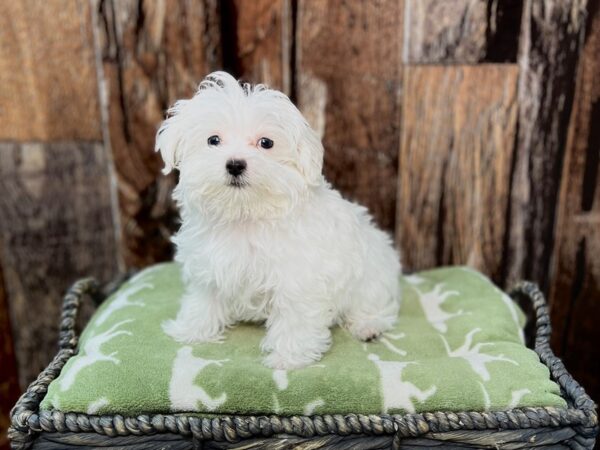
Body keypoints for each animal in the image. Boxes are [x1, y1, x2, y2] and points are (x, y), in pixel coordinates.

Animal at [155, 72, 400, 370]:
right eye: (213, 140)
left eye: (266, 143)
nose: (235, 164)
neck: (245, 214)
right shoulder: (210, 267)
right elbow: (204, 300)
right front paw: (192, 329)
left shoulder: (298, 280)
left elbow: (295, 317)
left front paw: (289, 356)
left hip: (370, 278)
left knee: (376, 306)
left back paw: (368, 326)